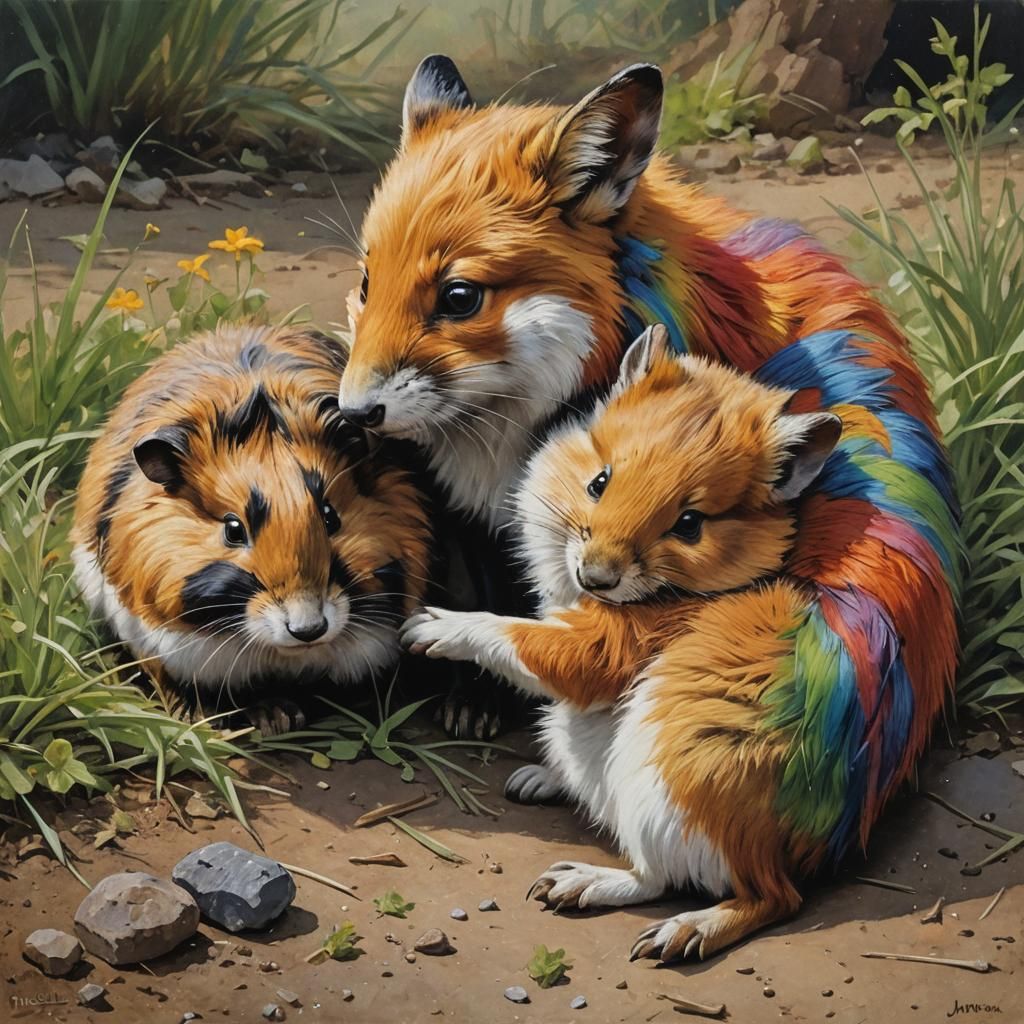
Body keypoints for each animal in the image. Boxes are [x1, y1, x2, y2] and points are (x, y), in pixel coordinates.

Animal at [401, 323, 960, 960]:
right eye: (599, 481)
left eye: (690, 524)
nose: (595, 577)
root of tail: (802, 857)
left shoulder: (603, 649)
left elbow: (530, 643)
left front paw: (429, 627)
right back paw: (541, 783)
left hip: (668, 802)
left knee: (736, 893)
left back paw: (637, 912)